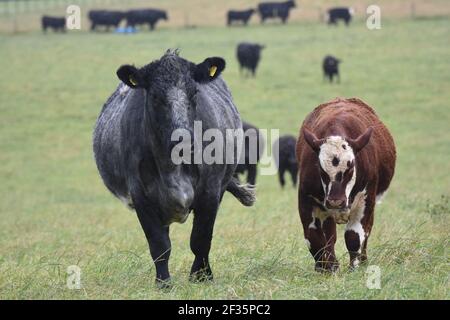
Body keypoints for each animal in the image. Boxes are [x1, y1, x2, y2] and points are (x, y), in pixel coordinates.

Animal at [93, 50, 255, 288]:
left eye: (194, 93)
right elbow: (159, 245)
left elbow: (200, 239)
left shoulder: (211, 192)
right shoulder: (141, 196)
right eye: (154, 97)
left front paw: (201, 277)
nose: (183, 139)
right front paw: (163, 283)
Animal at [298, 98, 396, 272]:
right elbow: (315, 238)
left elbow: (354, 236)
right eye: (321, 169)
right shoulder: (306, 199)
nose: (336, 202)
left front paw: (354, 268)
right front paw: (327, 268)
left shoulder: (365, 201)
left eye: (350, 167)